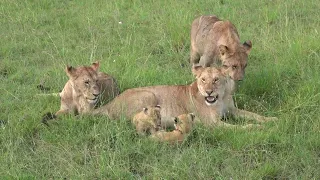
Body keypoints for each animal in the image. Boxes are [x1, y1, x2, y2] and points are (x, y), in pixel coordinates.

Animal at [90, 65, 278, 129]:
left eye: (216, 80)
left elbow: (254, 115)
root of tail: (112, 102)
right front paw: (256, 128)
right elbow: (240, 128)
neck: (220, 98)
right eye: (203, 80)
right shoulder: (213, 123)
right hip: (149, 94)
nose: (208, 92)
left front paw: (272, 120)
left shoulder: (232, 110)